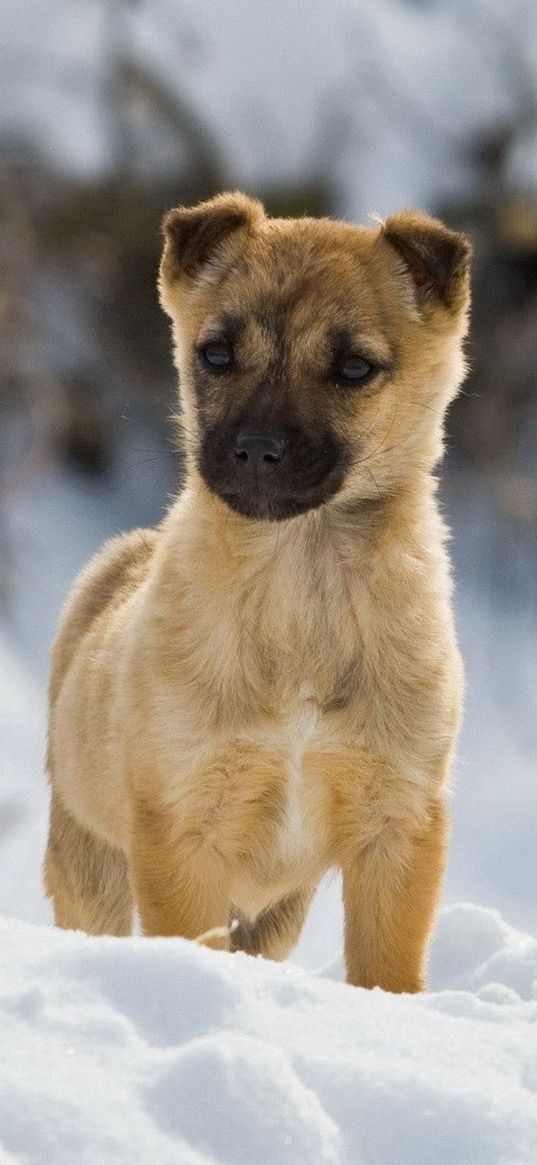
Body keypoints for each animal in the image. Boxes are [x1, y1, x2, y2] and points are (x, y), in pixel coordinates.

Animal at [45, 193, 468, 992]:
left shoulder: (397, 823)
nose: (256, 451)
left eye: (354, 367)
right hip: (90, 863)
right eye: (215, 353)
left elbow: (387, 970)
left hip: (278, 915)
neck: (300, 586)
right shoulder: (183, 828)